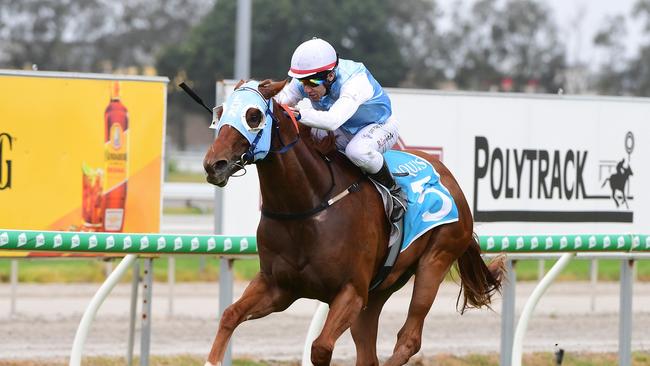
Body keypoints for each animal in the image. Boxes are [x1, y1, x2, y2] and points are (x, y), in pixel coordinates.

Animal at [201, 80, 502, 366]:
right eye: (221, 112)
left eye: (253, 116)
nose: (213, 164)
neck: (306, 206)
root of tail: (450, 178)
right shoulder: (278, 287)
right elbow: (230, 314)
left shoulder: (351, 292)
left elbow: (321, 347)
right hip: (380, 288)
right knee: (369, 352)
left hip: (436, 259)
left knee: (409, 339)